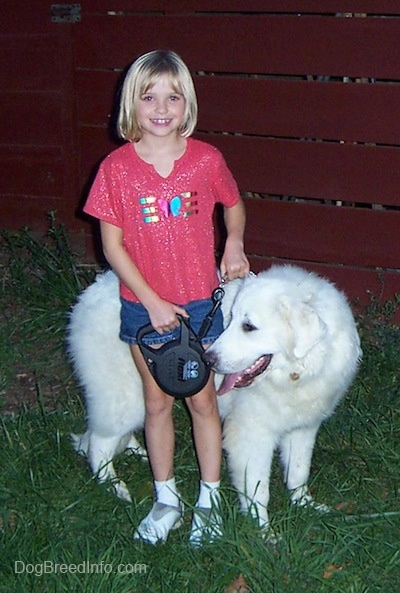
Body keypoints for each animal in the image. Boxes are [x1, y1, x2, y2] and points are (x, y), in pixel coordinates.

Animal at [67, 266, 360, 528]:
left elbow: (298, 472)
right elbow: (258, 490)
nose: (208, 359)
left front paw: (305, 506)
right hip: (125, 398)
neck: (297, 373)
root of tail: (87, 297)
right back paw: (115, 487)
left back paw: (139, 453)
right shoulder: (252, 435)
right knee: (98, 443)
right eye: (230, 319)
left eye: (248, 326)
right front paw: (263, 533)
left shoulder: (302, 427)